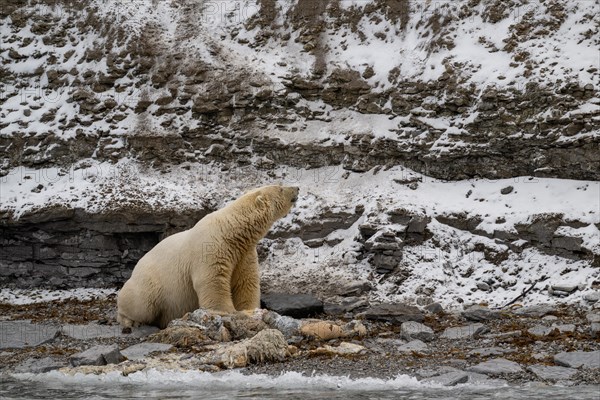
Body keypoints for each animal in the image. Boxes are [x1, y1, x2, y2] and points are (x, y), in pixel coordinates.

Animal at [116, 184, 298, 328]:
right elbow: (212, 280)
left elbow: (245, 281)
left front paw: (251, 310)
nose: (296, 188)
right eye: (280, 188)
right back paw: (130, 320)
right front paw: (227, 311)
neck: (231, 231)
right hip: (150, 283)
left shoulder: (243, 253)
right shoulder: (211, 248)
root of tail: (136, 268)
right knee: (141, 304)